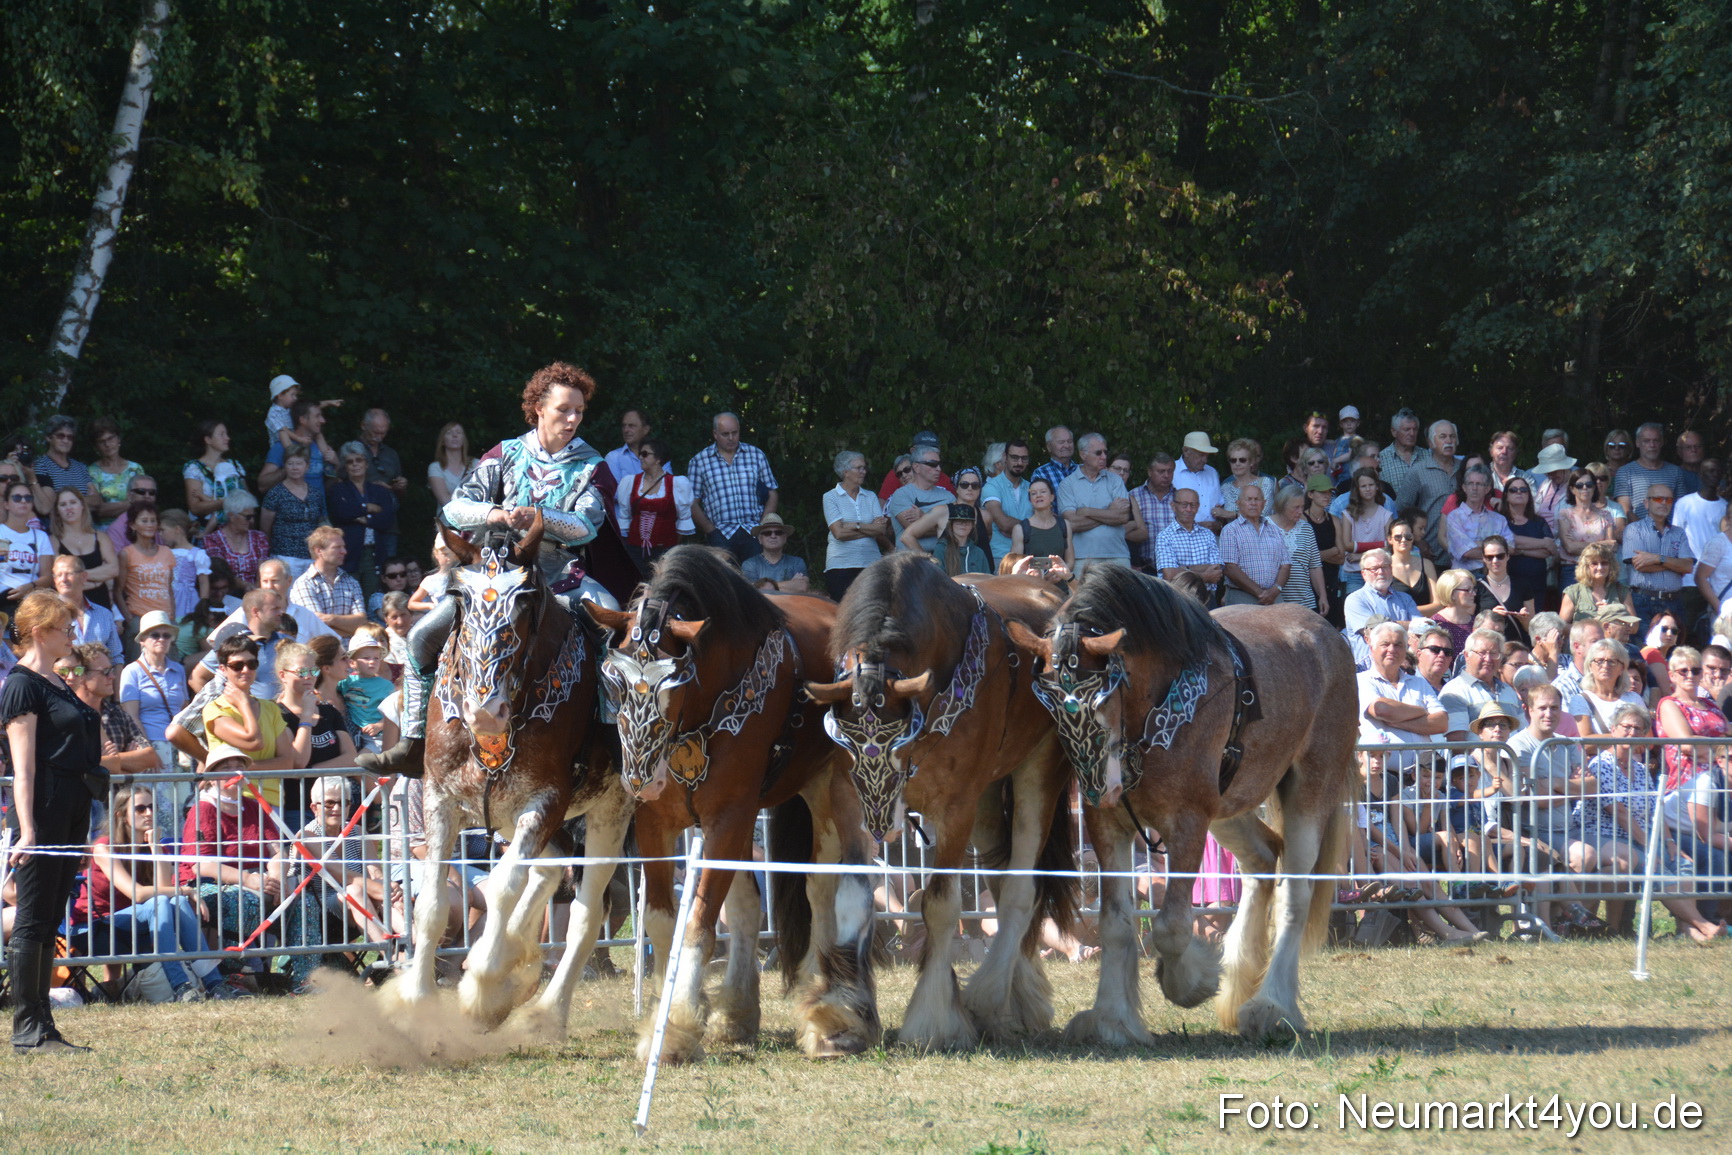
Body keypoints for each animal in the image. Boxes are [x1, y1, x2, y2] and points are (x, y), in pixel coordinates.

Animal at [379, 515, 635, 1036]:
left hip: (608, 812)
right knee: (550, 872)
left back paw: (543, 1010)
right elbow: (432, 906)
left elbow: (502, 889)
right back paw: (516, 967)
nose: (485, 712)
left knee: (585, 914)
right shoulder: (440, 799)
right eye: (459, 595)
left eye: (526, 597)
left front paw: (481, 986)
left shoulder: (545, 803)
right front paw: (417, 1001)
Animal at [587, 544, 878, 1064]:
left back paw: (839, 1014)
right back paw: (744, 1012)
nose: (642, 779)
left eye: (672, 685)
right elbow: (664, 922)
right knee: (782, 897)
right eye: (613, 681)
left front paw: (676, 1025)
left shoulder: (728, 817)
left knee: (843, 884)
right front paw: (671, 1013)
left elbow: (699, 924)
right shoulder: (656, 822)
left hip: (837, 788)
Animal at [805, 552, 1078, 1051]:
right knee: (1000, 877)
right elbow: (852, 897)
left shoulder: (955, 808)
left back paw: (993, 997)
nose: (884, 823)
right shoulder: (847, 798)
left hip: (1038, 767)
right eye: (846, 742)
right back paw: (1017, 996)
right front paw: (842, 1015)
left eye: (898, 741)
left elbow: (939, 905)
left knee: (1020, 889)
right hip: (989, 797)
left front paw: (933, 1018)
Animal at [1008, 566, 1354, 1043]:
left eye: (1101, 697)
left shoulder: (1188, 823)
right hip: (1229, 804)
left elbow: (1171, 927)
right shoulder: (1108, 826)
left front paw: (1192, 982)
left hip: (1311, 787)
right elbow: (1116, 923)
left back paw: (1272, 1005)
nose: (1101, 788)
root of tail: (1330, 635)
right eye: (1051, 704)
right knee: (1263, 857)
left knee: (1294, 895)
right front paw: (1112, 1018)